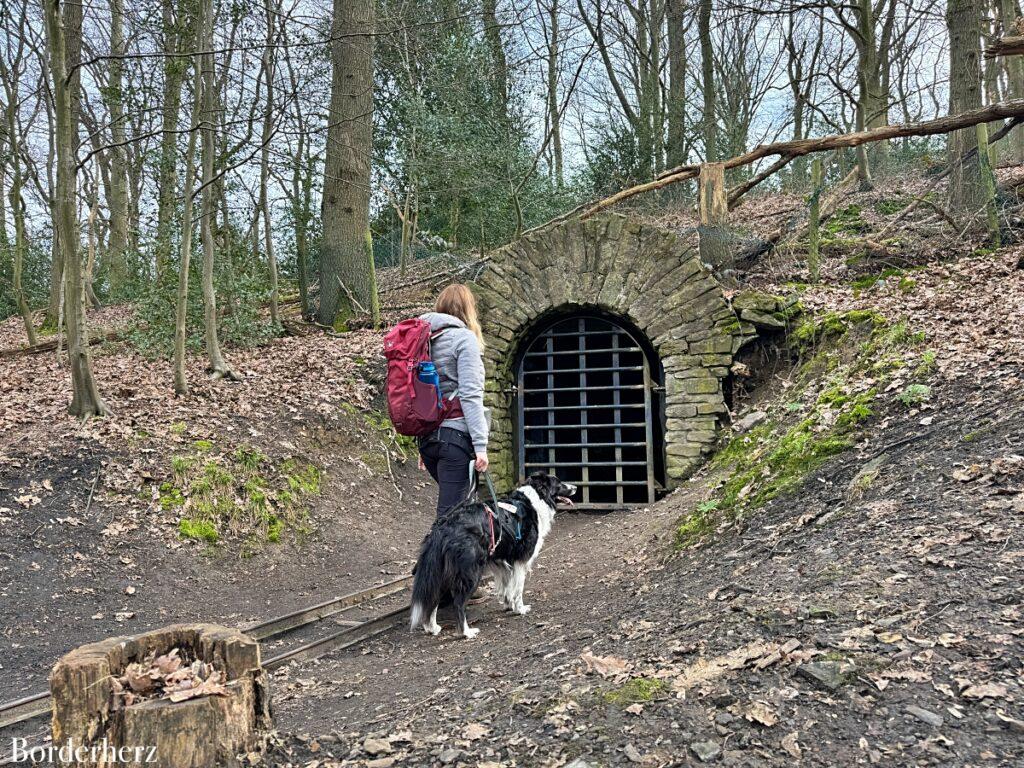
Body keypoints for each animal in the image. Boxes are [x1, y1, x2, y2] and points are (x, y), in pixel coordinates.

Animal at [409, 473, 577, 638]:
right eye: (559, 483)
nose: (575, 487)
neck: (535, 498)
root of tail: (442, 528)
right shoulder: (520, 560)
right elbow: (518, 588)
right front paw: (520, 609)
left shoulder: (501, 560)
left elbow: (507, 585)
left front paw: (508, 605)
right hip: (470, 572)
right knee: (458, 603)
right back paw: (466, 632)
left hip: (443, 573)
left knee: (433, 599)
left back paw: (432, 628)